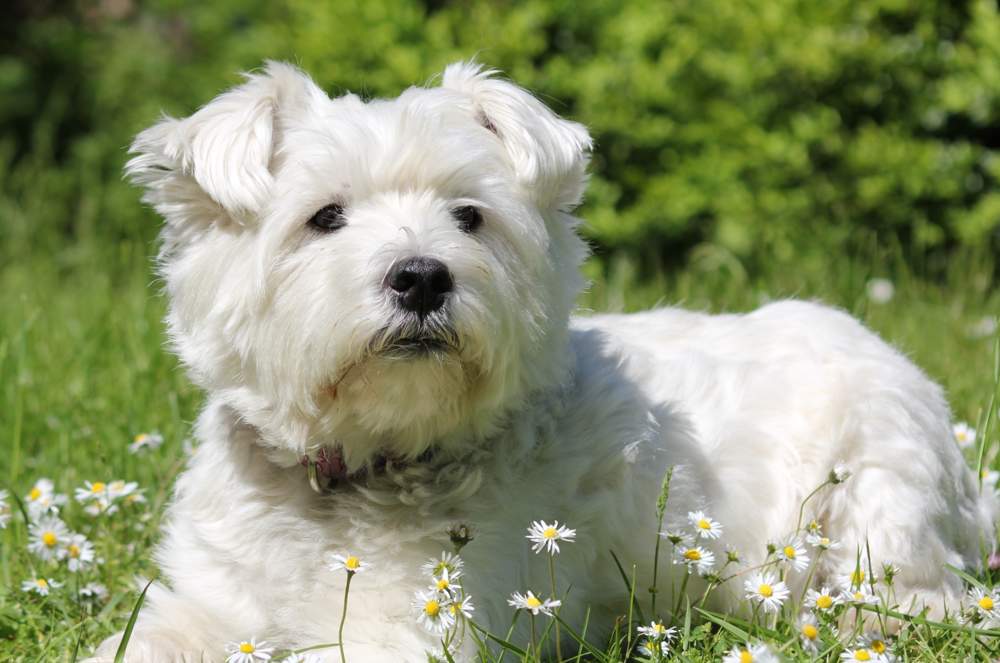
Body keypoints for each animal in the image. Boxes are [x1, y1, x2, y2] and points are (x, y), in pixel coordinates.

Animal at [92, 61, 992, 660]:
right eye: (325, 217)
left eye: (469, 215)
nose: (422, 276)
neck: (355, 473)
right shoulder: (202, 603)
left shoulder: (423, 623)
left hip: (877, 500)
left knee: (924, 597)